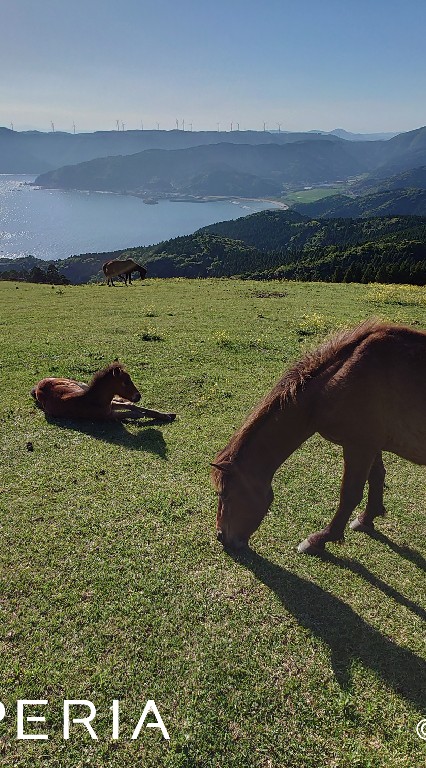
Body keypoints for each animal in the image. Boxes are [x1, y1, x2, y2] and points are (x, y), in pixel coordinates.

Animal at [30, 364, 176, 424]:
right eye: (125, 382)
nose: (138, 396)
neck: (93, 400)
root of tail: (37, 387)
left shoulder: (111, 404)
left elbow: (132, 406)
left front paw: (167, 415)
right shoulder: (108, 415)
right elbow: (135, 413)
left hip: (79, 384)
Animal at [211, 320, 426, 556]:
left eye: (225, 494)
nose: (221, 537)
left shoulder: (359, 447)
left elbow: (349, 495)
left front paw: (319, 539)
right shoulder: (371, 444)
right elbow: (377, 477)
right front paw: (367, 519)